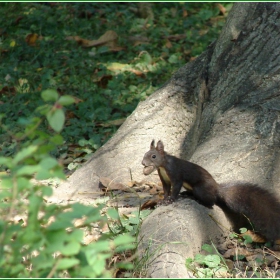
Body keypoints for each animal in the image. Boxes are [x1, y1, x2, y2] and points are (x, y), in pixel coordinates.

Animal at [142, 140, 280, 245]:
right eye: (145, 154)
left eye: (153, 156)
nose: (143, 163)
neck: (163, 166)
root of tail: (216, 189)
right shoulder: (164, 179)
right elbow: (165, 190)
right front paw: (163, 200)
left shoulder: (176, 174)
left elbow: (175, 189)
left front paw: (170, 200)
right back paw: (187, 194)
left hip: (200, 189)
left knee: (211, 202)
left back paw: (198, 200)